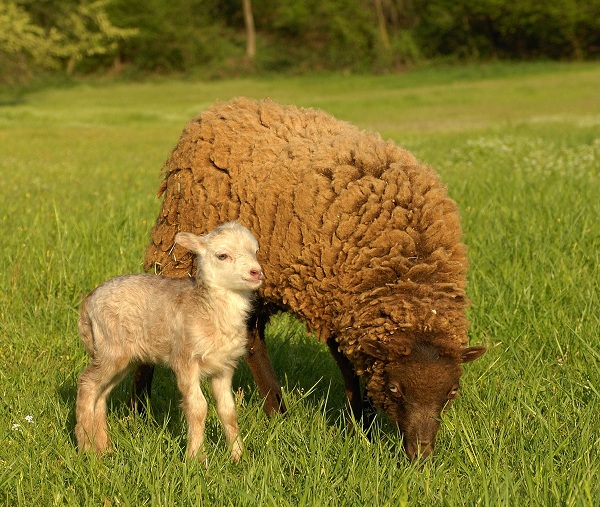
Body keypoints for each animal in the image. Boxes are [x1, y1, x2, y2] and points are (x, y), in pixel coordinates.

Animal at [75, 220, 262, 462]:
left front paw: (239, 456)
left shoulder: (224, 366)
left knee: (101, 394)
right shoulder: (185, 360)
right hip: (110, 348)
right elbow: (198, 407)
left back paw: (103, 449)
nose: (256, 272)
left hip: (118, 356)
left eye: (255, 251)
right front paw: (196, 458)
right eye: (222, 255)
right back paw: (86, 447)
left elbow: (228, 411)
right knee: (87, 384)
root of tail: (87, 303)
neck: (207, 307)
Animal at [137, 98, 488, 460]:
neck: (410, 270)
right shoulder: (336, 305)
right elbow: (349, 369)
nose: (421, 455)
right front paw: (361, 425)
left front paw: (362, 424)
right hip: (175, 248)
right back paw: (141, 408)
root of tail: (221, 108)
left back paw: (276, 411)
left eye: (452, 392)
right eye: (394, 388)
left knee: (252, 336)